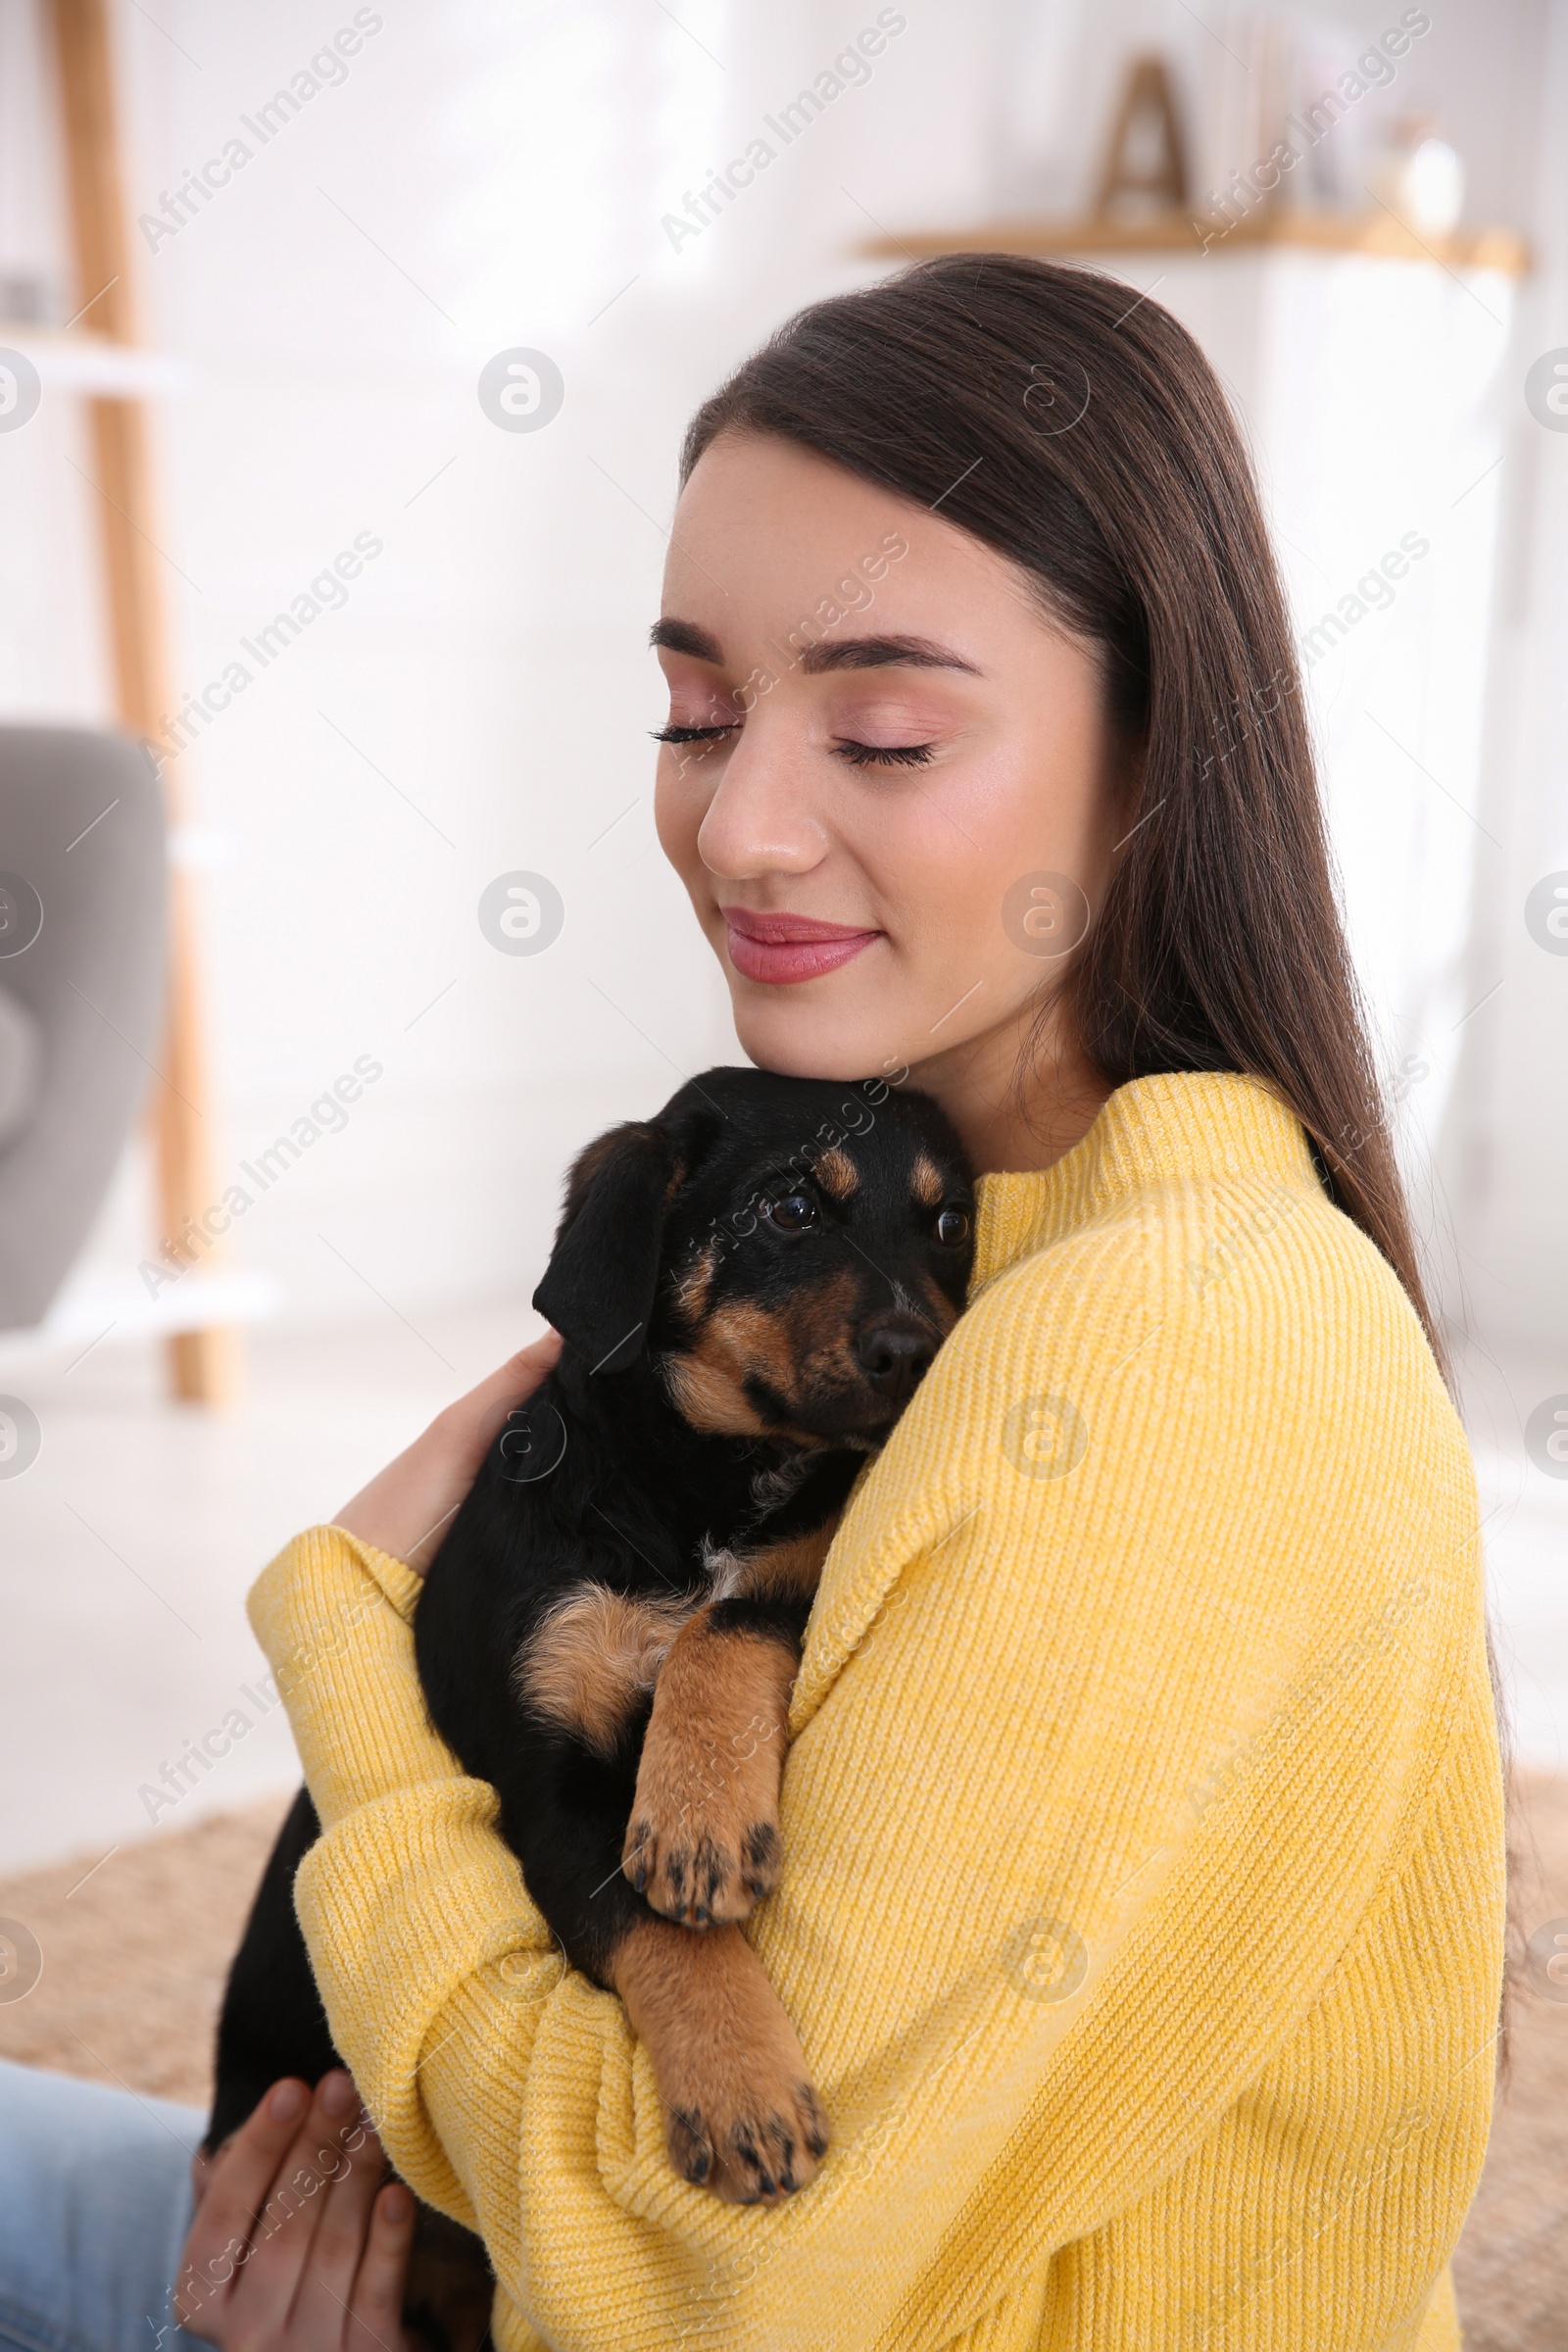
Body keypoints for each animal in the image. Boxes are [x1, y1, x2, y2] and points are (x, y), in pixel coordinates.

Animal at [208, 1077, 968, 2305]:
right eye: (792, 1208)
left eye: (949, 1223)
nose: (918, 1350)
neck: (697, 1484)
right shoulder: (542, 1794)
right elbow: (659, 1929)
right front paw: (743, 2092)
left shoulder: (792, 1572)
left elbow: (725, 1624)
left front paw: (697, 1814)